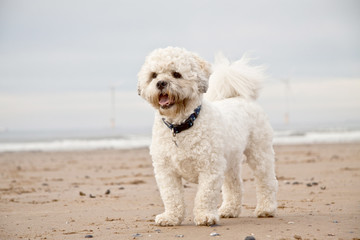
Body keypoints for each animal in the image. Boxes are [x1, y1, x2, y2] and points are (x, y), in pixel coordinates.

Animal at [136, 46, 278, 226]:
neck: (181, 126)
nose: (161, 83)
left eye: (176, 74)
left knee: (266, 180)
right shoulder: (166, 171)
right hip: (230, 161)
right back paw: (229, 210)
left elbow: (205, 194)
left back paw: (266, 209)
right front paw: (171, 217)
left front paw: (205, 216)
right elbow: (171, 196)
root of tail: (240, 97)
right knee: (234, 185)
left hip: (260, 153)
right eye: (153, 75)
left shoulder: (209, 168)